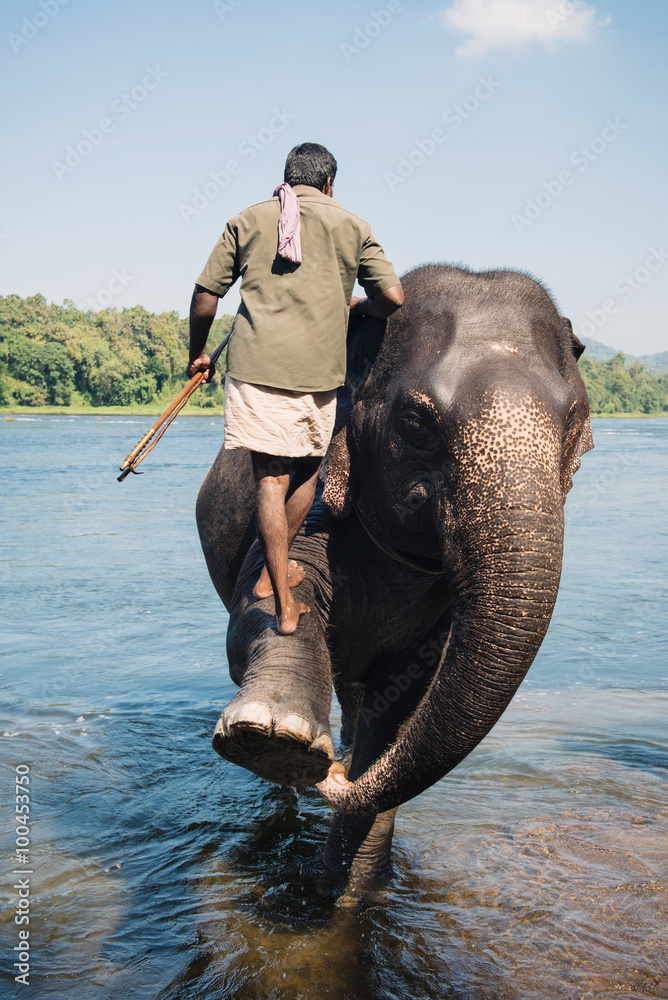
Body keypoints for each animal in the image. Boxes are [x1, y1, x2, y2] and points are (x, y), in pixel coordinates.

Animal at [196, 264, 594, 890]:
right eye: (414, 423)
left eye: (574, 422)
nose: (335, 777)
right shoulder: (308, 492)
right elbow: (261, 610)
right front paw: (277, 737)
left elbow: (405, 699)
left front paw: (351, 886)